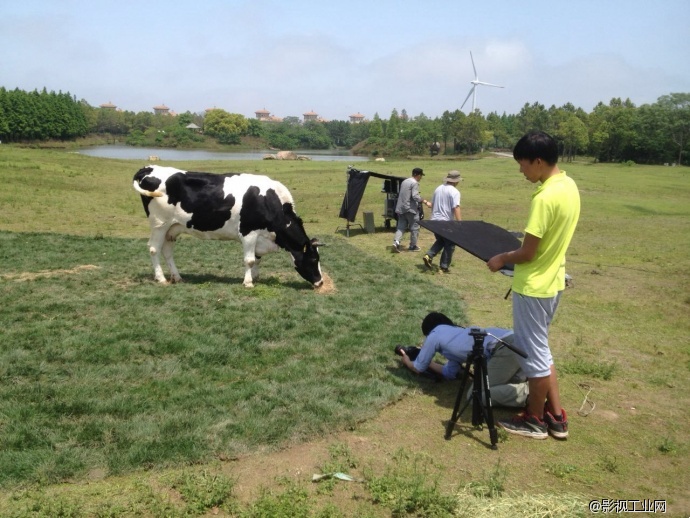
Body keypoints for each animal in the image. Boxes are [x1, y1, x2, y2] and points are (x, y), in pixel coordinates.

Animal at [133, 166, 324, 290]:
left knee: (167, 251)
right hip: (159, 224)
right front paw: (248, 282)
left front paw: (254, 277)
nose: (321, 282)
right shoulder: (248, 232)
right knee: (153, 249)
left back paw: (177, 277)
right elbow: (250, 260)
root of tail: (149, 168)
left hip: (172, 228)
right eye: (314, 259)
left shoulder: (259, 237)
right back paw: (161, 278)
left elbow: (257, 259)